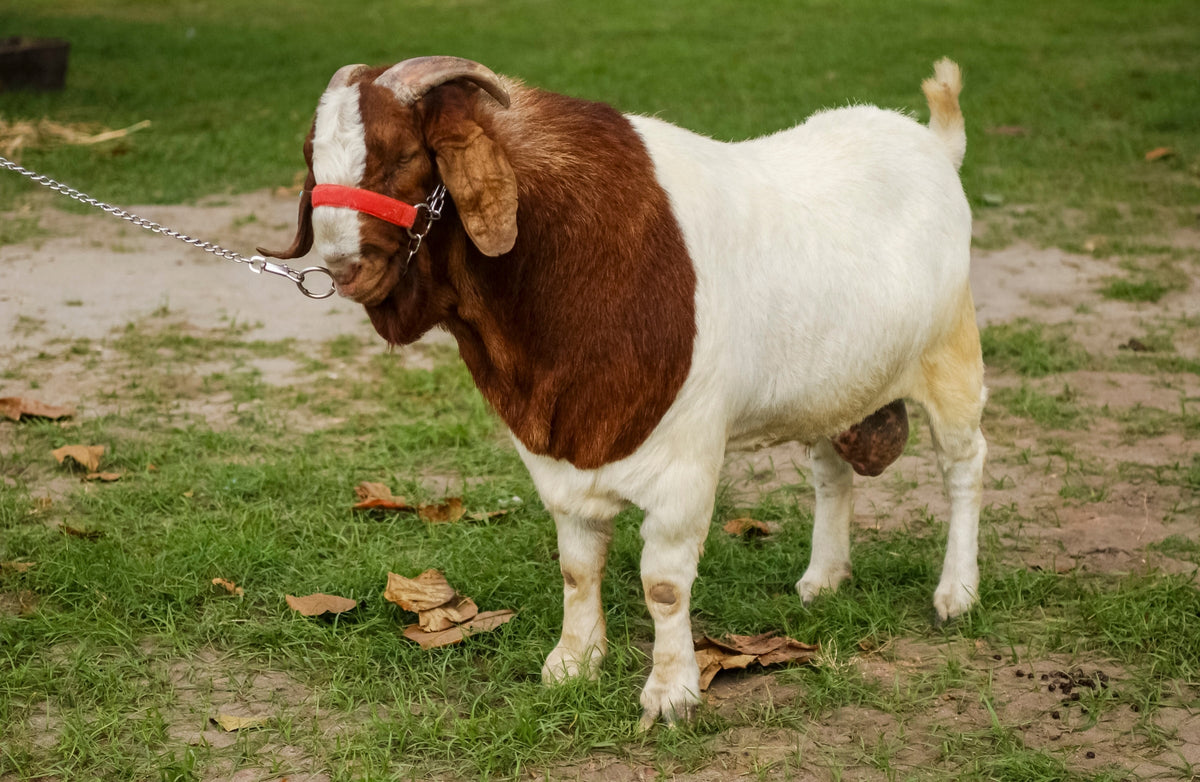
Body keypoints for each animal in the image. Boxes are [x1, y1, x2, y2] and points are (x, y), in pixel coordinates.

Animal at [262, 56, 987, 728]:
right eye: (310, 158)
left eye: (405, 155)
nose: (341, 266)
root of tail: (935, 144)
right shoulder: (559, 458)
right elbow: (578, 567)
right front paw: (573, 663)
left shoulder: (685, 460)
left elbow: (663, 585)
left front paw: (671, 693)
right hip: (836, 388)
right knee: (833, 471)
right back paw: (823, 579)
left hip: (952, 356)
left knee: (964, 468)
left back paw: (957, 593)